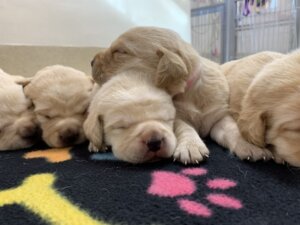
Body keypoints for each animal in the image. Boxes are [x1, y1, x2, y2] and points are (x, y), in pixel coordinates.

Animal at [89, 26, 270, 164]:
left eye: (120, 51)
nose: (91, 61)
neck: (190, 90)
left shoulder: (218, 115)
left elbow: (231, 128)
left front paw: (250, 147)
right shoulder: (176, 116)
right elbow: (185, 127)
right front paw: (191, 147)